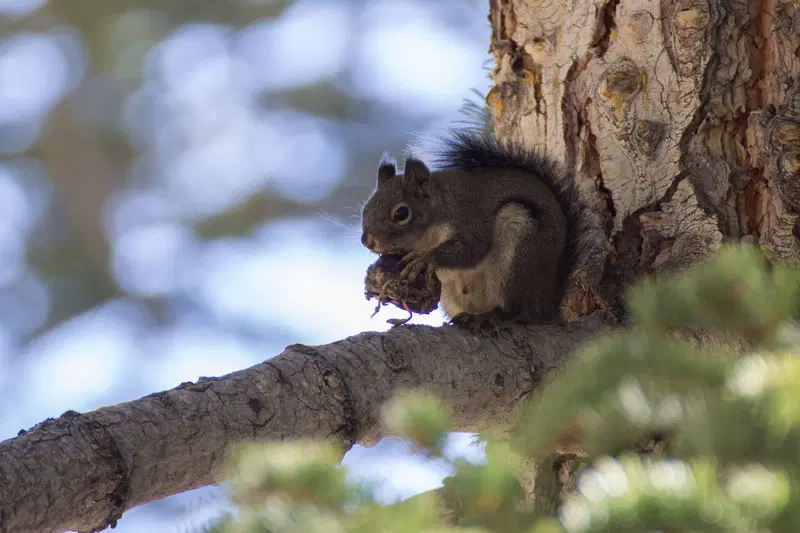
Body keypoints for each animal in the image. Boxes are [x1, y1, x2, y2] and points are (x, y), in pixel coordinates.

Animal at [360, 129, 601, 330]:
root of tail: (548, 305)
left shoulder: (470, 218)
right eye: (366, 207)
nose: (367, 241)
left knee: (517, 312)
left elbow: (471, 249)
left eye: (401, 214)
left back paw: (492, 316)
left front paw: (426, 259)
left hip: (518, 255)